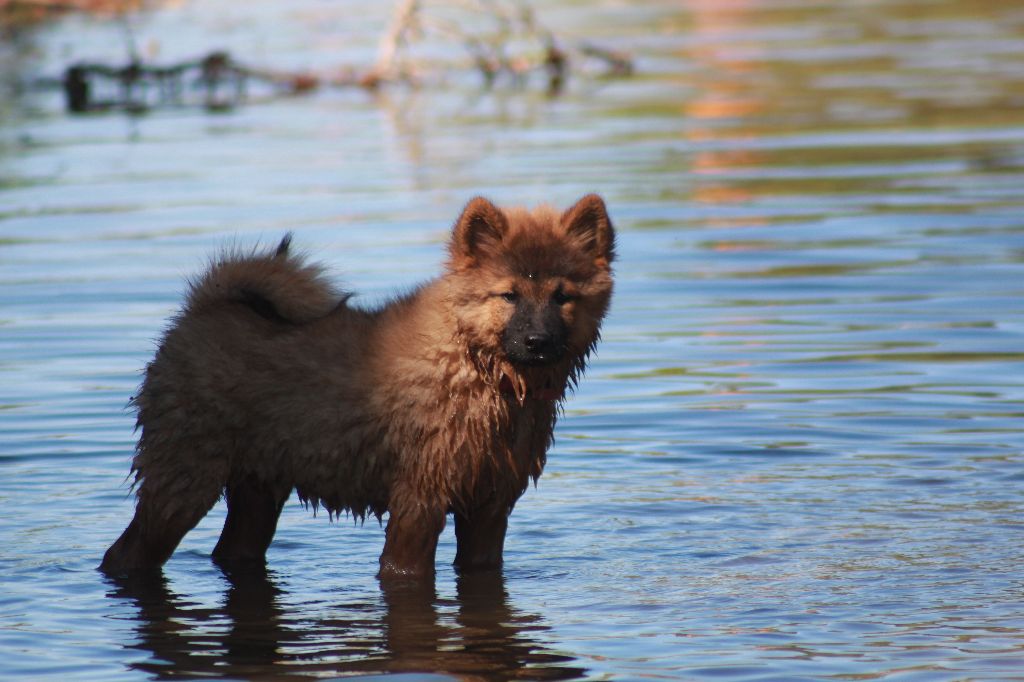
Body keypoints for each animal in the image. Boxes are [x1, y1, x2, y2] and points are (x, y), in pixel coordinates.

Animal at [101, 193, 614, 577]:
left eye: (562, 296)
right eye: (509, 295)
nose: (538, 342)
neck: (476, 367)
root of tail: (200, 310)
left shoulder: (489, 507)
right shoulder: (419, 501)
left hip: (257, 490)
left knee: (231, 551)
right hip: (184, 480)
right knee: (126, 551)